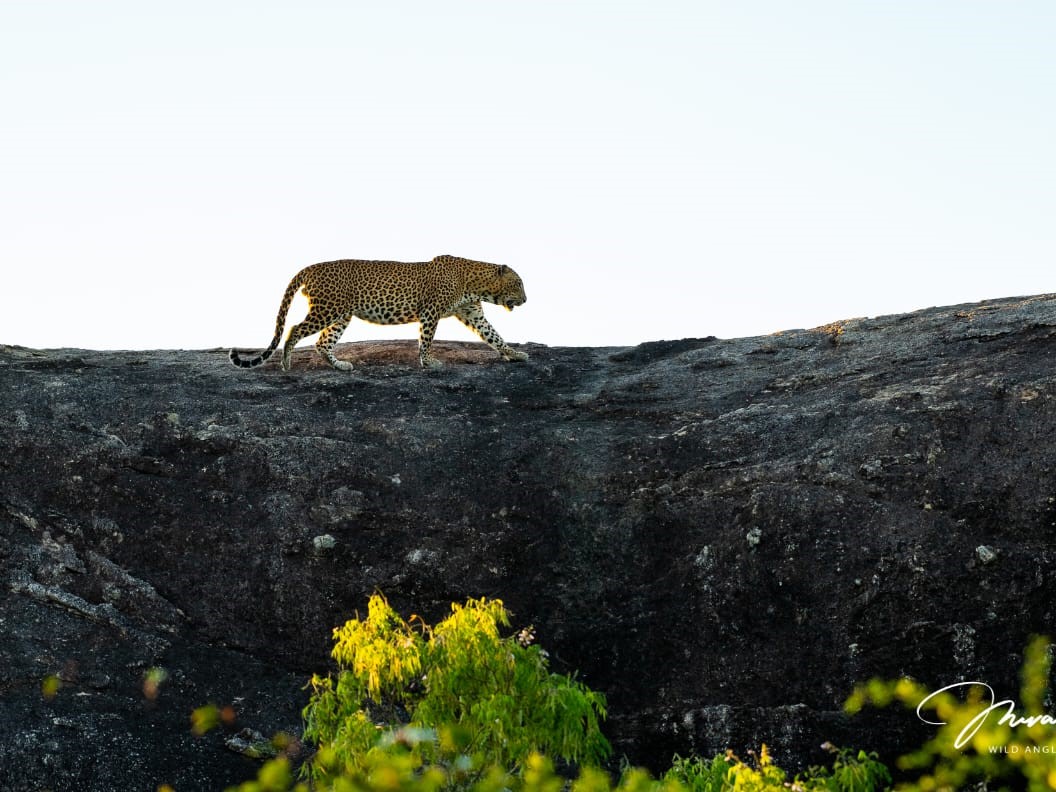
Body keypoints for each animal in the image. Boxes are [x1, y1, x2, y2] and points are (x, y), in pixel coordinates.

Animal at [230, 255, 528, 373]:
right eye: (518, 283)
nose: (526, 300)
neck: (476, 284)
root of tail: (310, 268)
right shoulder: (431, 310)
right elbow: (426, 338)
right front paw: (428, 362)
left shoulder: (472, 313)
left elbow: (495, 336)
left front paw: (515, 354)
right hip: (328, 308)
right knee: (294, 330)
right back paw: (287, 364)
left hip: (341, 314)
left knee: (322, 342)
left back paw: (340, 365)